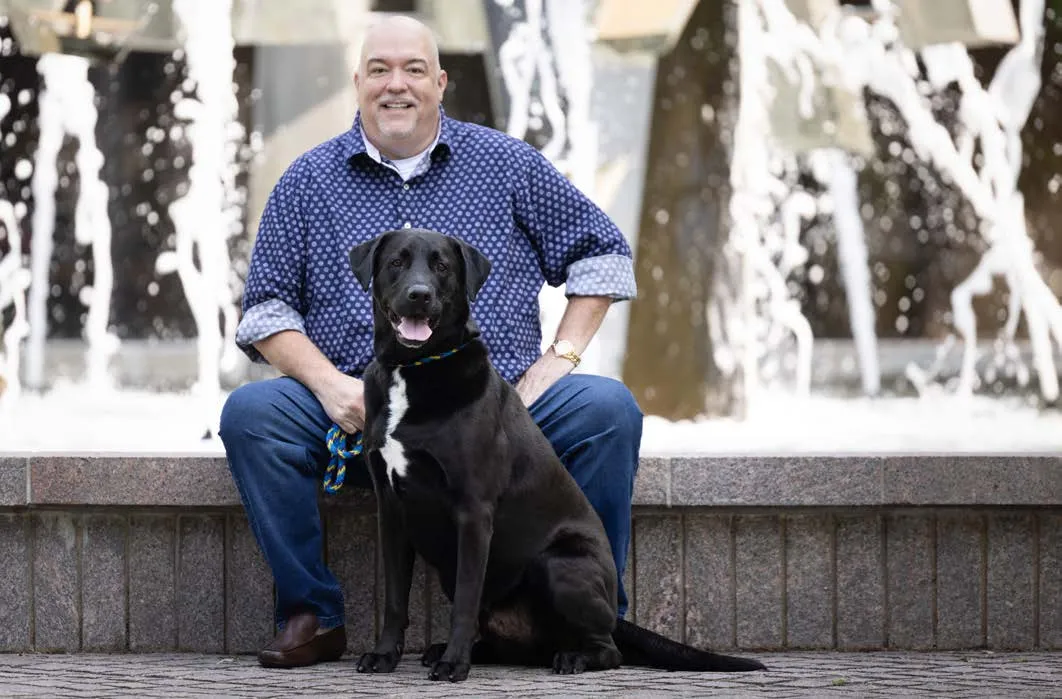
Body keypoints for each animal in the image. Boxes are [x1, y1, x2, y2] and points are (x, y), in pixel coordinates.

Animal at [348, 228, 766, 682]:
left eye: (442, 266)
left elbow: (464, 600)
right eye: (397, 263)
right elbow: (394, 599)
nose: (419, 295)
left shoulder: (473, 510)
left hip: (558, 563)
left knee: (608, 650)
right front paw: (384, 655)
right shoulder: (392, 510)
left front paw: (454, 664)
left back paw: (571, 658)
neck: (412, 368)